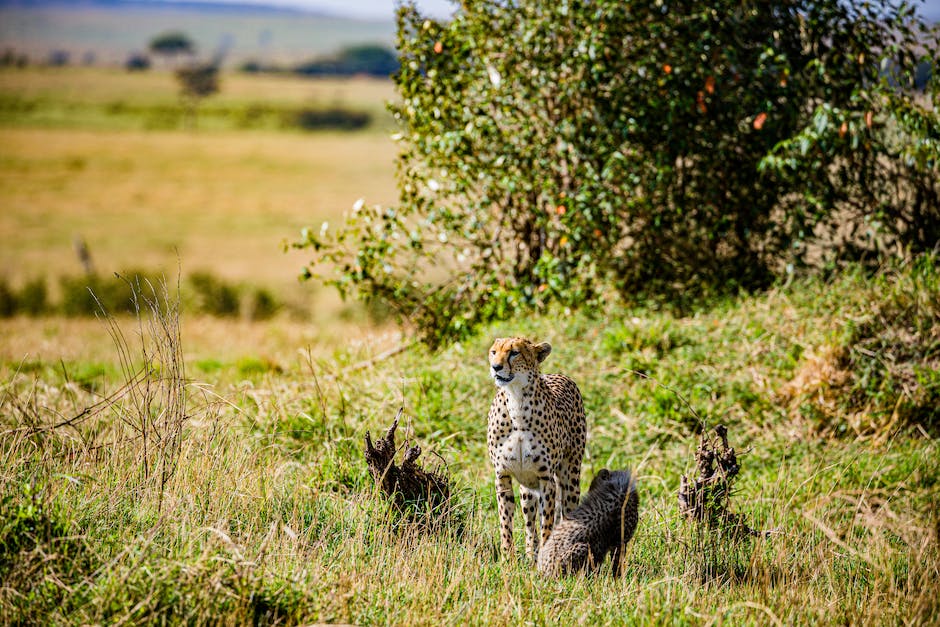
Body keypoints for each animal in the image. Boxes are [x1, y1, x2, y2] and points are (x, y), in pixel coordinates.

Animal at [488, 340, 584, 560]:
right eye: (493, 352)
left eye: (514, 353)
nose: (496, 367)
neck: (516, 401)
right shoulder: (502, 475)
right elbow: (505, 521)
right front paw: (507, 560)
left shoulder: (546, 479)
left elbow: (547, 523)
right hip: (527, 490)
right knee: (530, 524)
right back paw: (530, 554)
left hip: (570, 478)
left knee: (566, 512)